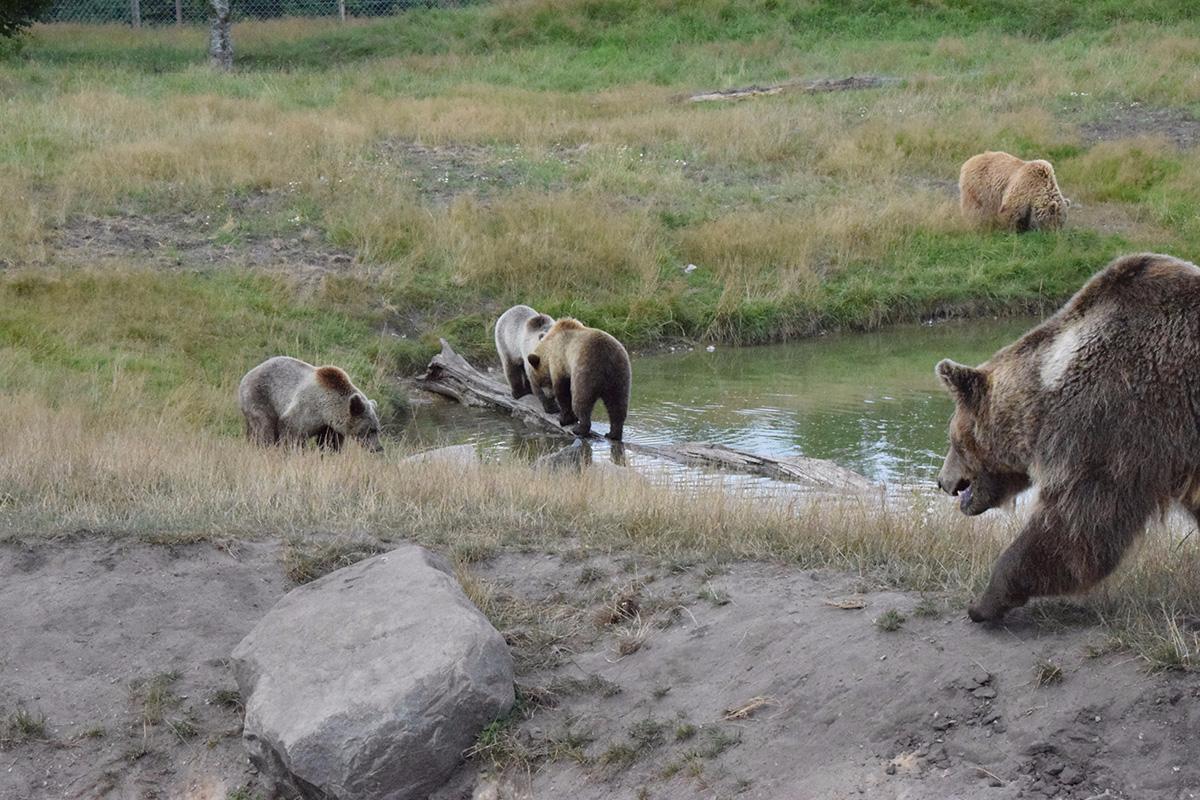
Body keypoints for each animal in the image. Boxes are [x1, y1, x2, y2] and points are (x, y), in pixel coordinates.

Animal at [237, 355, 379, 450]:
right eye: (371, 429)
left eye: (377, 429)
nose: (378, 448)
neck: (328, 410)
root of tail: (247, 375)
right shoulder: (308, 408)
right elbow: (291, 430)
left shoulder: (329, 426)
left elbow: (329, 442)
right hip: (260, 397)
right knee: (265, 427)